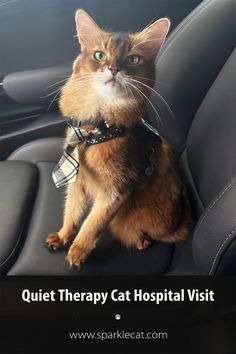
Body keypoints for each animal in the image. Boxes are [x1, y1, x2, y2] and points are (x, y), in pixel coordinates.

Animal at [45, 9, 191, 268]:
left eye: (133, 59)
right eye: (99, 55)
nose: (113, 68)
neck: (95, 131)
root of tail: (180, 223)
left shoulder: (116, 192)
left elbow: (92, 224)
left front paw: (78, 250)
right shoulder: (78, 182)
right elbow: (72, 212)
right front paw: (63, 236)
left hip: (130, 220)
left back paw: (143, 241)